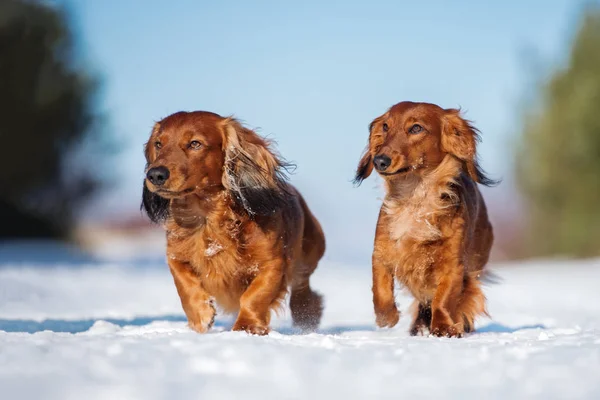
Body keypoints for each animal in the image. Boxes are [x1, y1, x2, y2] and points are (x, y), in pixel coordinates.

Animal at [143, 111, 326, 334]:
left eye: (195, 143)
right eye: (159, 144)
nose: (155, 174)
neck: (208, 219)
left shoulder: (273, 264)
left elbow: (254, 296)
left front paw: (246, 327)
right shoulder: (176, 256)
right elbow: (184, 284)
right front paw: (201, 315)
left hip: (307, 258)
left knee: (302, 287)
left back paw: (306, 315)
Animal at [354, 101, 494, 338]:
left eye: (416, 128)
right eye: (385, 126)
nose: (379, 160)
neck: (415, 199)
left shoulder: (453, 265)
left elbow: (443, 299)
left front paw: (444, 327)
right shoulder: (382, 252)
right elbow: (380, 288)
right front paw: (387, 317)